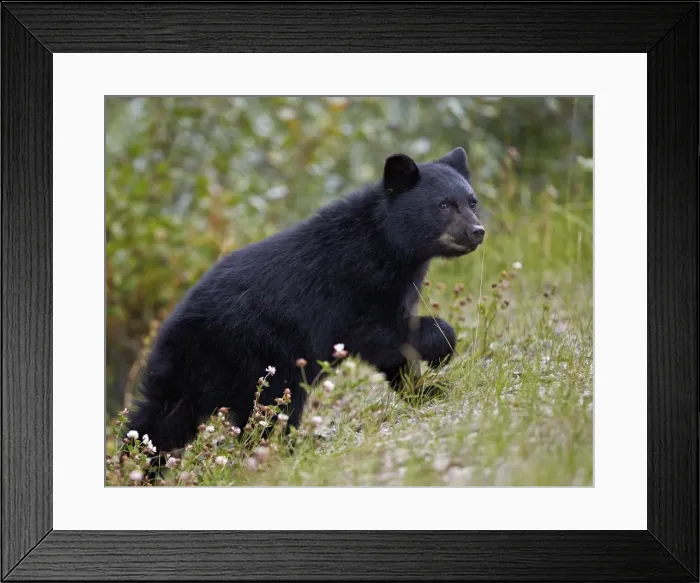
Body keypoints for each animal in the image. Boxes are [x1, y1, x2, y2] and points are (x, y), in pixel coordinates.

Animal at [127, 146, 485, 453]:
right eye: (443, 205)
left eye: (472, 202)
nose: (477, 231)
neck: (389, 247)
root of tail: (172, 329)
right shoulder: (352, 290)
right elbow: (380, 334)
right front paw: (441, 349)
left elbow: (396, 355)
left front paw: (426, 391)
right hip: (261, 356)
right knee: (271, 408)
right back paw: (287, 447)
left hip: (185, 373)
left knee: (159, 420)